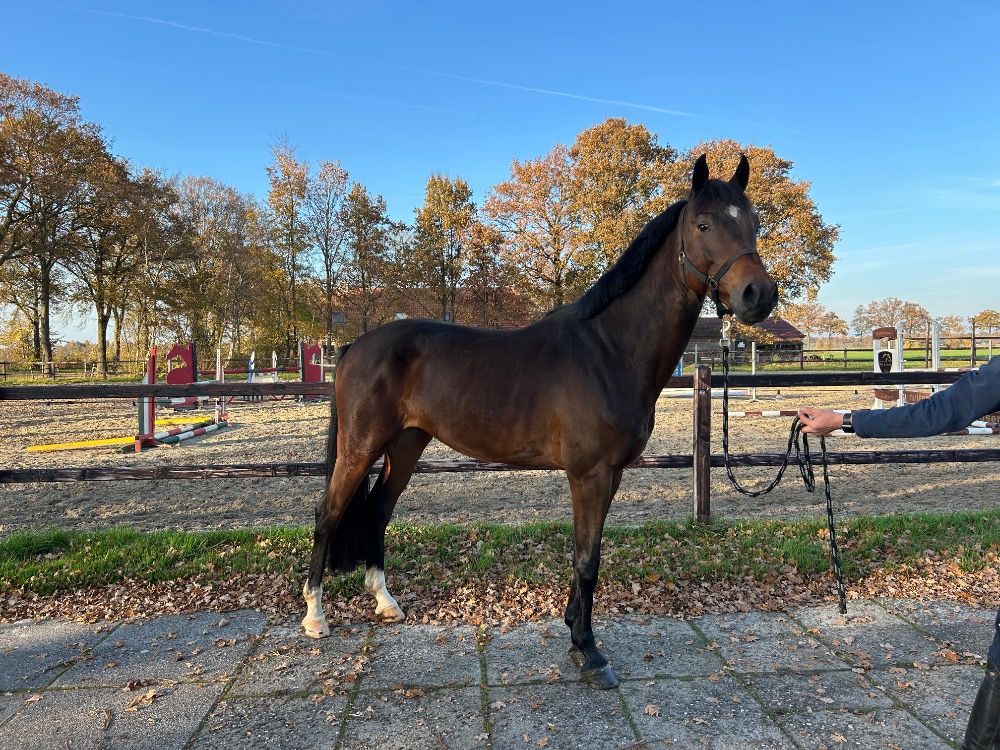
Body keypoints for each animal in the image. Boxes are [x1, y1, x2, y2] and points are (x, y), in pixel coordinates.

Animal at [301, 154, 778, 689]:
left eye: (753, 222)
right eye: (703, 225)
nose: (759, 294)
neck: (609, 350)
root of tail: (352, 348)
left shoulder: (611, 475)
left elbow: (589, 554)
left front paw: (576, 632)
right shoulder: (588, 475)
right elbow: (587, 559)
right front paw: (588, 652)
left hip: (406, 445)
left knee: (379, 510)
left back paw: (386, 603)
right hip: (361, 447)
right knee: (329, 514)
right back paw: (315, 616)